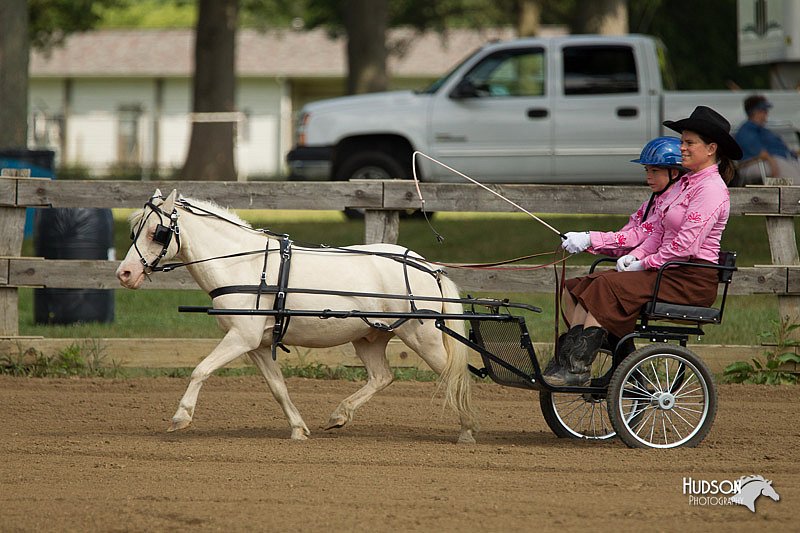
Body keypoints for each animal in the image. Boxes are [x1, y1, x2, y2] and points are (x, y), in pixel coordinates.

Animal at [113, 189, 476, 442]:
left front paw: (181, 416)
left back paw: (468, 430)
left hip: (424, 337)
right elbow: (278, 388)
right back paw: (339, 415)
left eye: (157, 232)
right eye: (135, 231)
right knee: (382, 377)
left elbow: (200, 370)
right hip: (369, 337)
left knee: (455, 376)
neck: (245, 265)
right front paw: (299, 429)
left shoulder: (240, 338)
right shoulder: (257, 346)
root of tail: (428, 266)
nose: (125, 273)